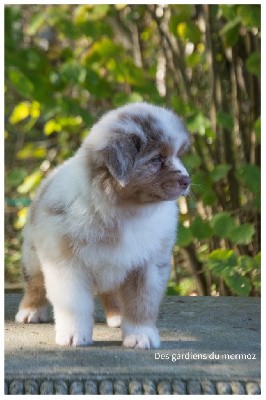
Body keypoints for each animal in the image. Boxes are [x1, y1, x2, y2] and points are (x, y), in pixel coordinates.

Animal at [15, 103, 190, 350]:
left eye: (177, 156)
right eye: (157, 159)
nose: (187, 181)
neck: (126, 211)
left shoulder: (148, 266)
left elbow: (142, 304)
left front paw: (140, 334)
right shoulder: (67, 263)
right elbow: (74, 304)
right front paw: (74, 335)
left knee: (111, 293)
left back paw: (117, 317)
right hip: (33, 254)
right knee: (35, 283)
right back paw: (30, 311)